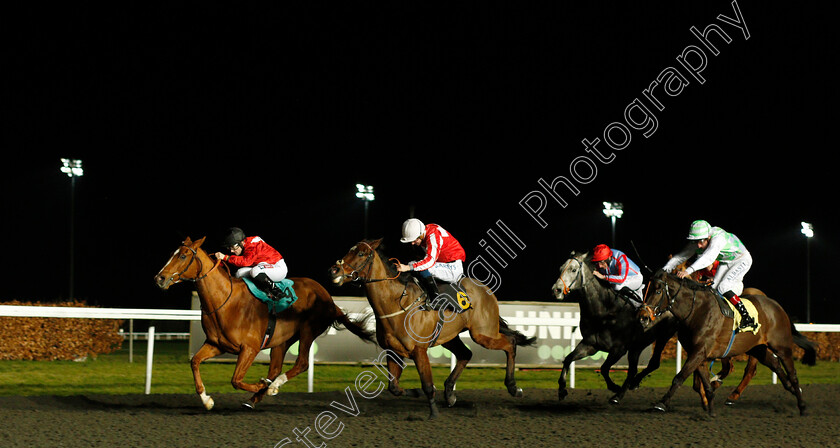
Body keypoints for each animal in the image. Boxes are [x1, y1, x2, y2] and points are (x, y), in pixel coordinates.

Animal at [153, 238, 374, 410]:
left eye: (182, 256)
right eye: (172, 254)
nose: (159, 278)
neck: (224, 301)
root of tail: (329, 299)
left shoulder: (249, 348)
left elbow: (236, 380)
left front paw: (264, 386)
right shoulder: (216, 344)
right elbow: (195, 362)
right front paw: (207, 400)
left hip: (307, 332)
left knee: (302, 363)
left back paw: (272, 386)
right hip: (282, 340)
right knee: (275, 368)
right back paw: (256, 397)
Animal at [324, 240, 536, 418]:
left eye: (361, 253)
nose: (334, 270)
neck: (396, 303)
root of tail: (486, 290)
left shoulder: (419, 350)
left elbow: (427, 384)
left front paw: (433, 412)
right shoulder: (393, 351)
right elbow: (393, 386)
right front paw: (415, 392)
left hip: (483, 333)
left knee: (510, 343)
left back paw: (514, 388)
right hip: (451, 337)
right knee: (465, 354)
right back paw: (450, 393)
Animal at [640, 270, 816, 416]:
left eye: (657, 291)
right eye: (644, 290)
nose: (643, 316)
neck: (697, 310)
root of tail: (777, 306)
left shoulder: (699, 351)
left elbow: (679, 377)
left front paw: (661, 404)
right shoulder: (698, 353)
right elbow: (704, 383)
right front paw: (710, 408)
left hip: (781, 347)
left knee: (792, 374)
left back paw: (802, 406)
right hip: (757, 348)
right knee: (775, 365)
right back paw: (789, 390)